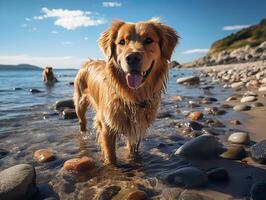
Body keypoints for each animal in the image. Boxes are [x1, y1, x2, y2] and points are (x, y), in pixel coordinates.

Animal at [74, 18, 178, 164]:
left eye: (148, 40)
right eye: (122, 42)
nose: (132, 57)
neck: (132, 96)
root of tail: (88, 62)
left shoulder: (138, 126)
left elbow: (133, 150)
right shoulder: (106, 127)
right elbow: (110, 157)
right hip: (79, 103)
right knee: (82, 121)